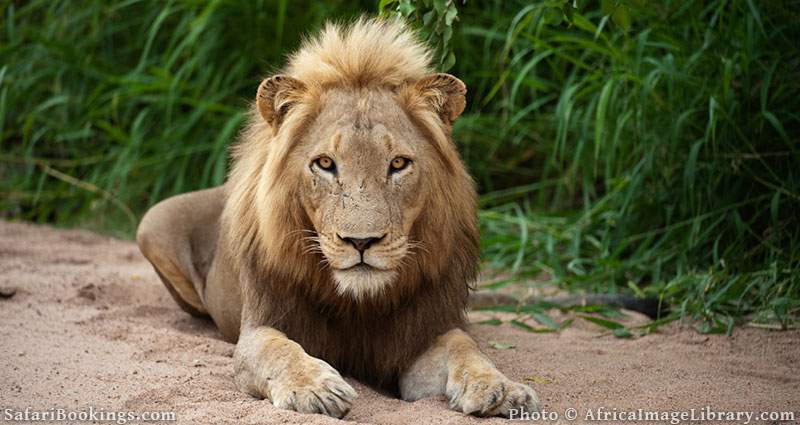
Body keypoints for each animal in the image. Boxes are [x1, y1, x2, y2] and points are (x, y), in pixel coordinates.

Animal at [136, 17, 536, 418]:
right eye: (326, 164)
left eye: (398, 164)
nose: (361, 242)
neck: (357, 305)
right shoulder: (261, 326)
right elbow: (277, 350)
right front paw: (315, 388)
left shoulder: (422, 333)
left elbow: (463, 345)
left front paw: (501, 388)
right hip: (151, 223)